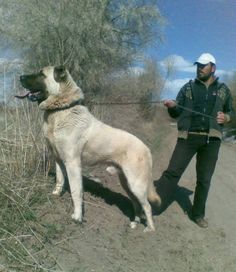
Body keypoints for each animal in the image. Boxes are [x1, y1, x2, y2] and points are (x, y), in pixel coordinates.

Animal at [18, 66, 160, 232]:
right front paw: (56, 194)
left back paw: (150, 229)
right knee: (136, 203)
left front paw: (77, 216)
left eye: (41, 74)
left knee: (148, 206)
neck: (61, 110)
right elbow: (59, 180)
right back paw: (134, 222)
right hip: (127, 183)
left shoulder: (72, 164)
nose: (20, 77)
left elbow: (76, 191)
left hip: (136, 184)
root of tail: (146, 149)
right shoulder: (58, 159)